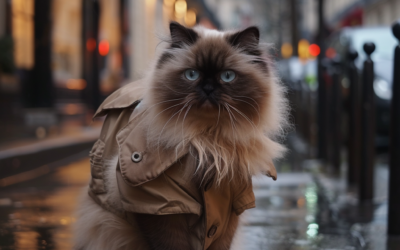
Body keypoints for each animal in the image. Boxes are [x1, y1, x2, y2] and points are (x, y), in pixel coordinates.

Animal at [74, 22, 288, 250]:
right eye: (192, 75)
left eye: (227, 76)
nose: (208, 88)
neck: (207, 138)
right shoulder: (161, 208)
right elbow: (173, 243)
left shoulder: (229, 207)